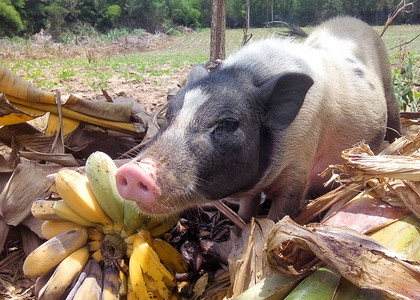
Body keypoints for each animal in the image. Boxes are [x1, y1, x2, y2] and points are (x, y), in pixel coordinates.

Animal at [114, 17, 400, 223]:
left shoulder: (299, 166)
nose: (133, 171)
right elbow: (247, 207)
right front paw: (242, 223)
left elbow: (281, 215)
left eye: (228, 124)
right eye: (168, 117)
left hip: (388, 86)